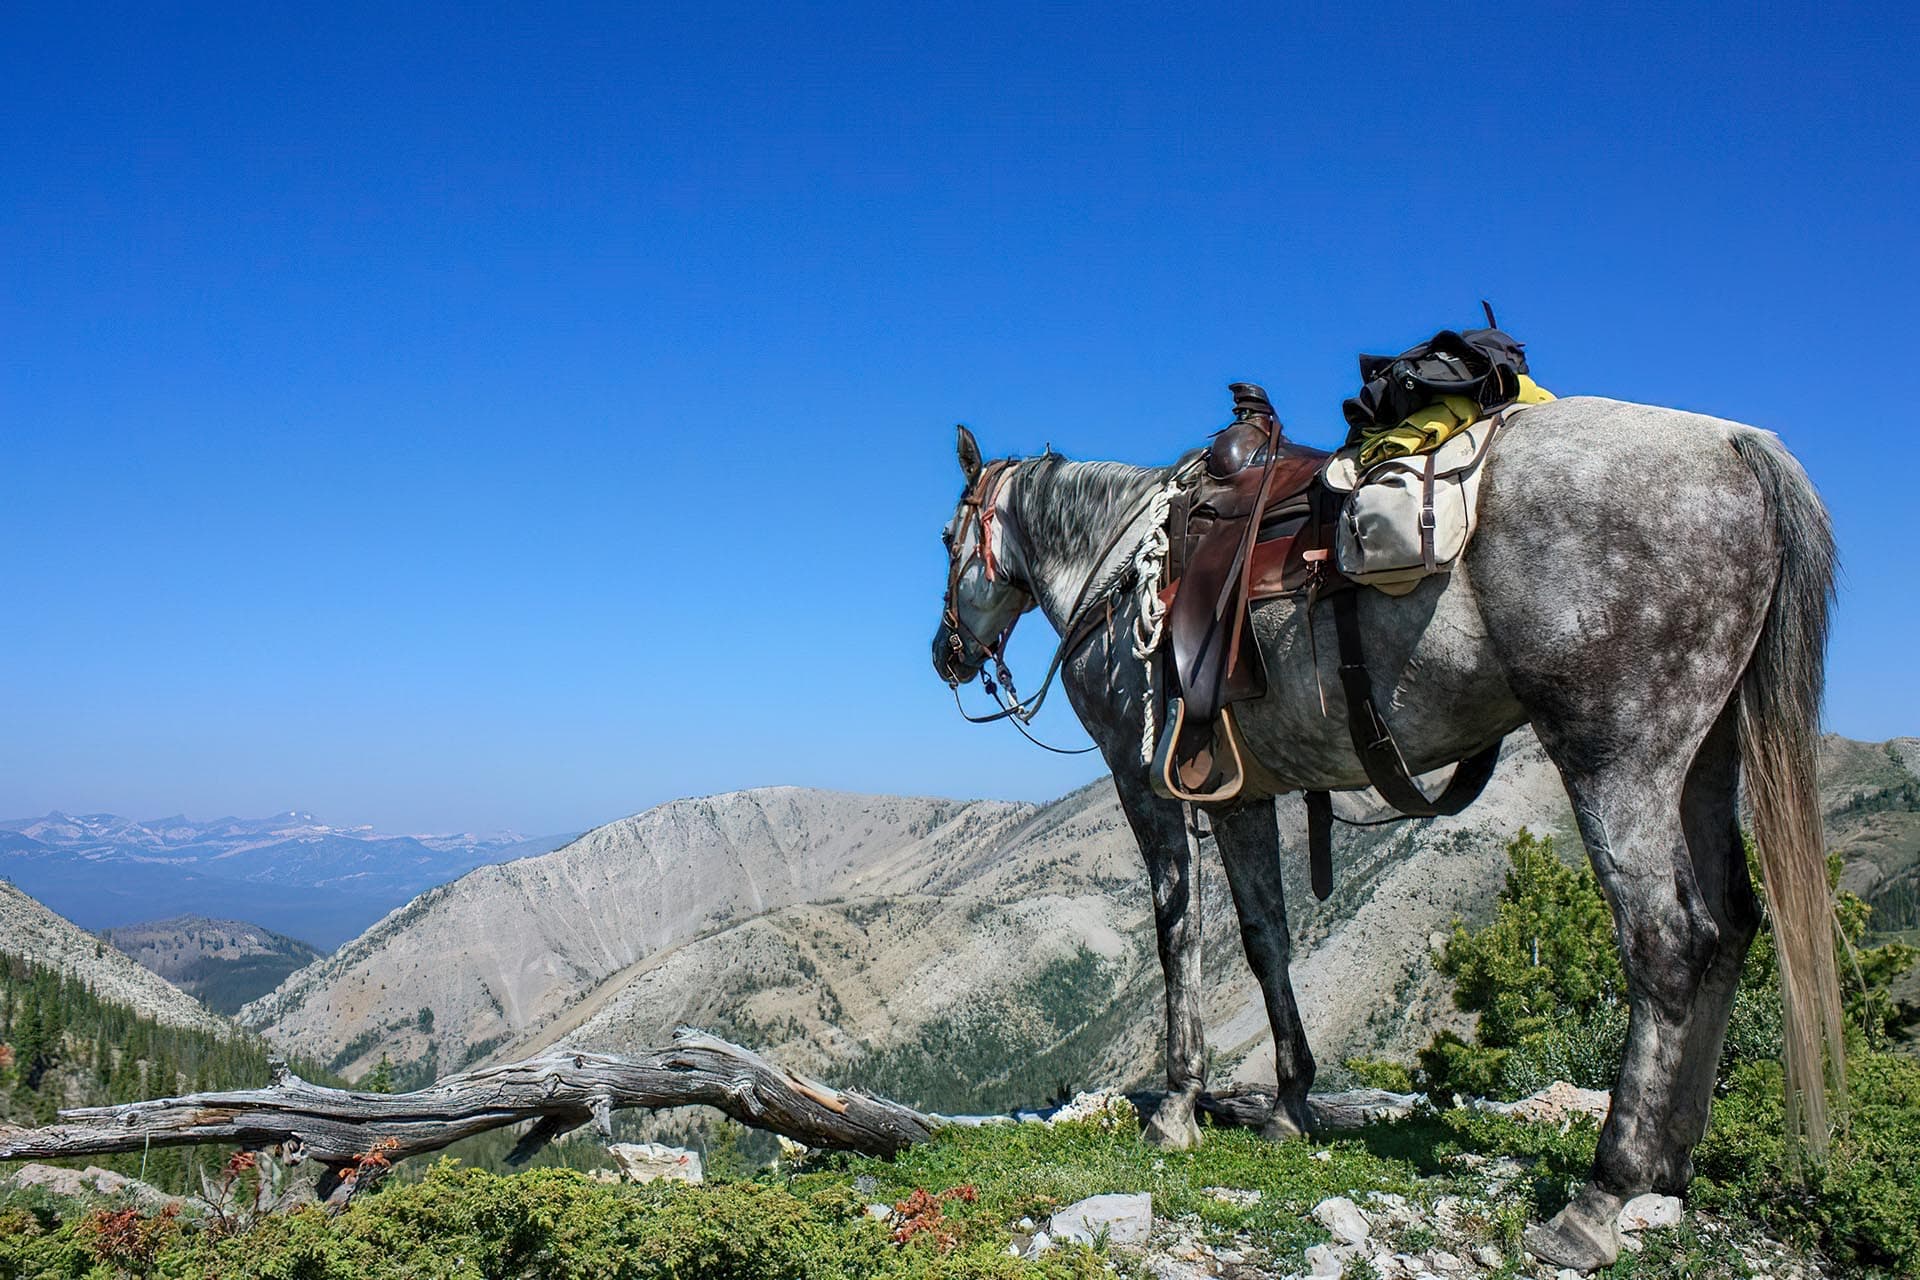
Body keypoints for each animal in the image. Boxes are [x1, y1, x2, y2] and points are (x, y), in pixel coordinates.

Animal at [930, 395, 1841, 1271]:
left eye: (947, 538)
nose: (947, 652)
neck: (1123, 563)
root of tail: (1735, 444)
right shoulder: (1237, 795)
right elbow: (1266, 938)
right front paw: (1291, 1103)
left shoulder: (1141, 777)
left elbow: (1177, 934)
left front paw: (1179, 1104)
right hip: (1707, 756)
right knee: (1732, 928)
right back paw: (1671, 1167)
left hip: (1616, 757)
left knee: (1668, 943)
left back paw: (1600, 1197)